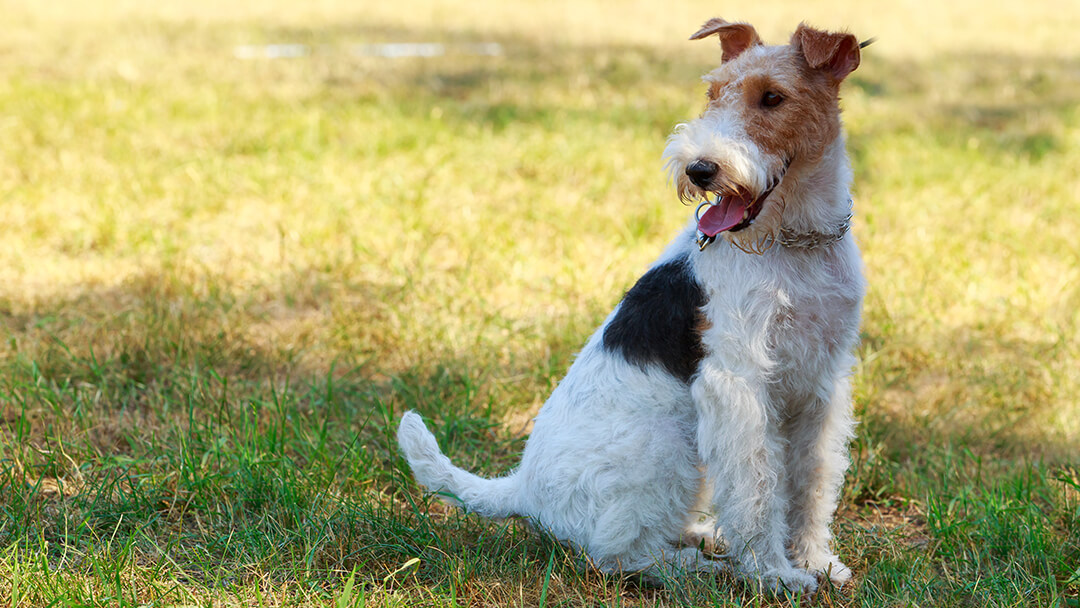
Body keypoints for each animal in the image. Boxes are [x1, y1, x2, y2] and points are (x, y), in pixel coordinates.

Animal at [395, 19, 859, 596]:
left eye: (773, 98)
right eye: (713, 93)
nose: (700, 170)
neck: (797, 242)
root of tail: (521, 488)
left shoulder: (821, 382)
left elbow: (812, 480)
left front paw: (816, 561)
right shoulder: (738, 383)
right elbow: (756, 489)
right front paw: (773, 575)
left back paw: (704, 536)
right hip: (667, 447)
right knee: (616, 555)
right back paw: (695, 567)